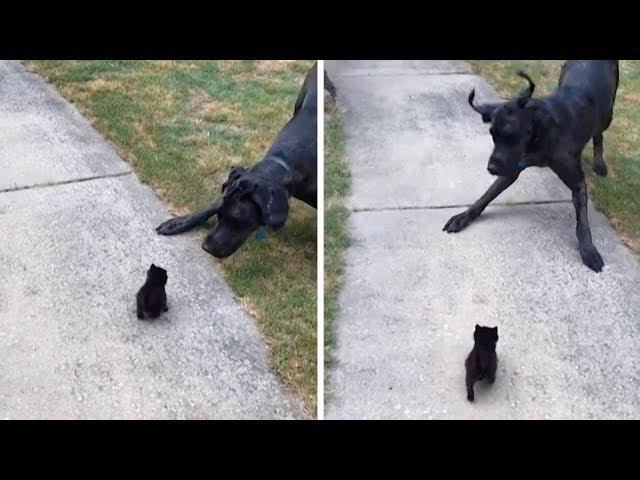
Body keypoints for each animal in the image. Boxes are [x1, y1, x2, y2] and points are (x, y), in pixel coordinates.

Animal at [153, 64, 318, 258]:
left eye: (238, 219)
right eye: (220, 214)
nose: (206, 248)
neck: (281, 162)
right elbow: (211, 205)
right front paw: (179, 222)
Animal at [444, 60, 620, 272]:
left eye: (511, 133)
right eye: (492, 134)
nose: (491, 168)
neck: (540, 133)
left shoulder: (577, 182)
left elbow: (582, 223)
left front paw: (588, 249)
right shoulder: (510, 169)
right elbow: (486, 196)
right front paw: (464, 216)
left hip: (607, 113)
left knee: (599, 133)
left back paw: (599, 163)